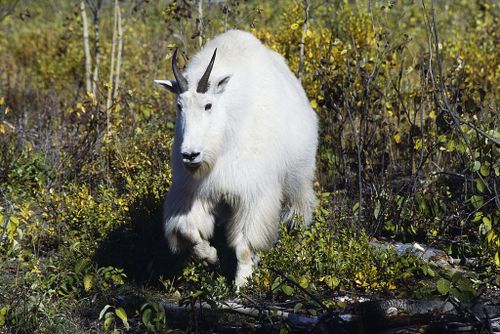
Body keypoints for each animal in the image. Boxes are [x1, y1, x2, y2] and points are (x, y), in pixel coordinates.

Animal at [154, 29, 318, 288]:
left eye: (208, 105)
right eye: (179, 105)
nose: (190, 155)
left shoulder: (253, 194)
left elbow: (244, 246)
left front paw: (241, 285)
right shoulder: (195, 192)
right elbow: (188, 232)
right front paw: (212, 257)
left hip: (298, 181)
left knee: (299, 213)